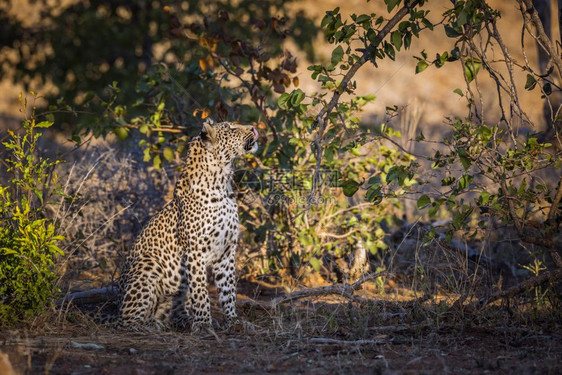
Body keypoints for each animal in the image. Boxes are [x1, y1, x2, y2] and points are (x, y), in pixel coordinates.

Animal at [116, 120, 260, 332]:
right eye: (232, 128)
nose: (254, 128)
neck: (222, 180)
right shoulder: (195, 251)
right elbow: (200, 291)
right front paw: (203, 324)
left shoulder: (226, 251)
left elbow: (228, 290)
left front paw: (234, 321)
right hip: (148, 263)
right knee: (126, 320)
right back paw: (148, 326)